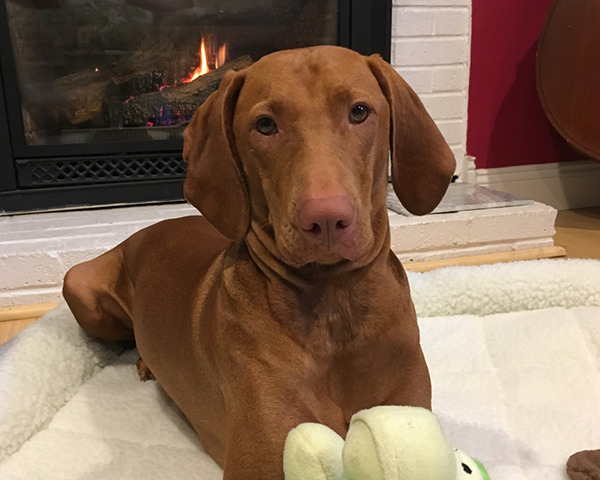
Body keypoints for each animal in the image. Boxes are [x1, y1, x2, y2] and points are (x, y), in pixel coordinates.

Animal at [62, 46, 454, 480]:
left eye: (359, 111)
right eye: (265, 124)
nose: (326, 219)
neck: (335, 306)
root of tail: (141, 233)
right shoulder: (264, 460)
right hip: (77, 283)